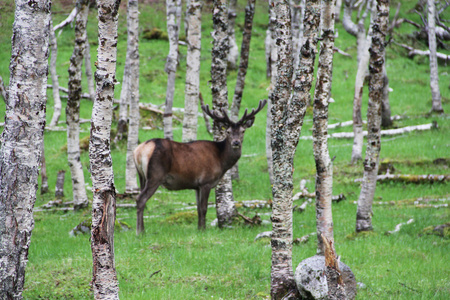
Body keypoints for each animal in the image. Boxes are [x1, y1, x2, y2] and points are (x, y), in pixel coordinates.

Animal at [134, 99, 268, 233]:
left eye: (243, 131)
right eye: (228, 131)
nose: (236, 142)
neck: (221, 159)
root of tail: (139, 150)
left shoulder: (196, 186)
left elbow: (198, 208)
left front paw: (199, 229)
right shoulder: (205, 181)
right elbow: (204, 208)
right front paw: (203, 230)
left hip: (142, 176)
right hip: (155, 175)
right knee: (140, 199)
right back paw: (140, 232)